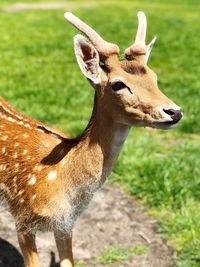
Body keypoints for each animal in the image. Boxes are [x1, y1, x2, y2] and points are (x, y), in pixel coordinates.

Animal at [0, 9, 182, 267]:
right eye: (118, 84)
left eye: (155, 78)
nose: (174, 112)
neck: (59, 181)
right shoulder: (22, 218)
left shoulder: (66, 223)